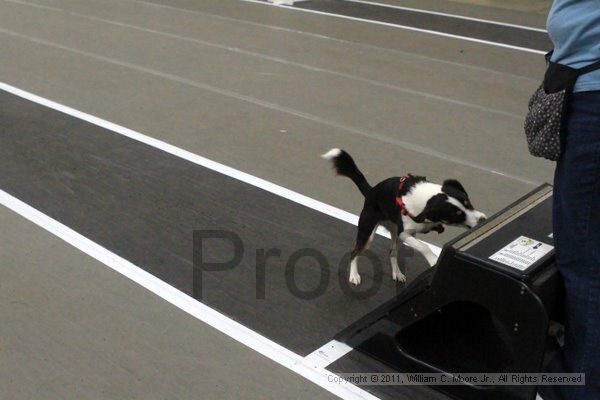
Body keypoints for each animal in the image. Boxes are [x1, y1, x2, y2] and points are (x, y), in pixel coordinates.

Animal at [322, 149, 486, 284]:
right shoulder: (405, 233)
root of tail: (371, 191)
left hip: (394, 233)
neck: (426, 199)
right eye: (457, 215)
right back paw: (354, 276)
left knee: (392, 252)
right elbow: (424, 246)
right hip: (368, 233)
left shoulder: (409, 233)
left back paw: (398, 274)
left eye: (467, 202)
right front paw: (433, 260)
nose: (483, 220)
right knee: (354, 253)